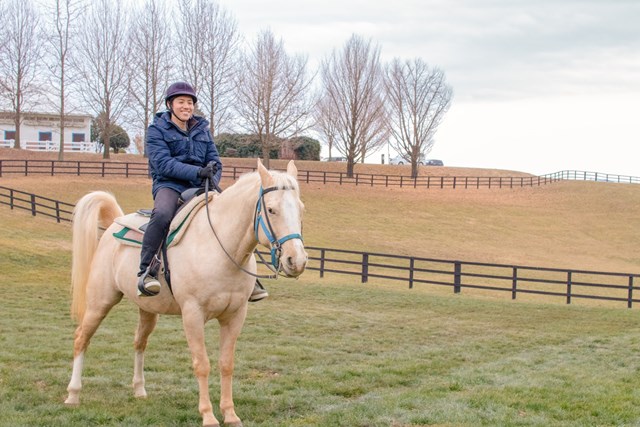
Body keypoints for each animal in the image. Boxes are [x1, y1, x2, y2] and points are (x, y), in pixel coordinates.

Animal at [65, 160, 308, 427]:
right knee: (81, 338)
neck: (218, 247)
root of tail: (114, 223)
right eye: (272, 210)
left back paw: (139, 390)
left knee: (139, 342)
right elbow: (202, 364)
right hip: (100, 303)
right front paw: (209, 415)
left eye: (301, 209)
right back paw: (73, 394)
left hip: (148, 310)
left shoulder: (235, 315)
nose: (296, 261)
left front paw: (230, 413)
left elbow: (226, 364)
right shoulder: (192, 314)